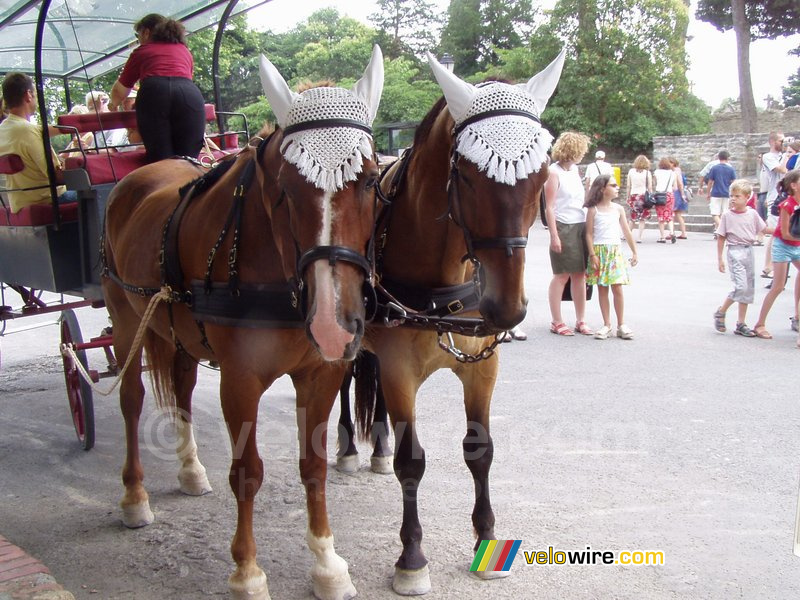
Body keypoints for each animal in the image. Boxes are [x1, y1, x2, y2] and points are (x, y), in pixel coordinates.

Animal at [101, 48, 382, 600]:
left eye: (368, 178)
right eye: (285, 189)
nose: (332, 324)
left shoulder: (321, 374)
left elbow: (313, 464)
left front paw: (326, 562)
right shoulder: (241, 380)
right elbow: (248, 472)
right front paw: (247, 571)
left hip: (179, 334)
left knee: (182, 389)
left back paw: (190, 470)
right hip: (126, 323)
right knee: (131, 400)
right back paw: (134, 496)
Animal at [352, 49, 568, 592]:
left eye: (541, 177)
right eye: (468, 176)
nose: (506, 307)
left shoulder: (481, 367)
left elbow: (479, 449)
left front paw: (485, 536)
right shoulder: (400, 372)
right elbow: (413, 461)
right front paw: (411, 556)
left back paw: (377, 444)